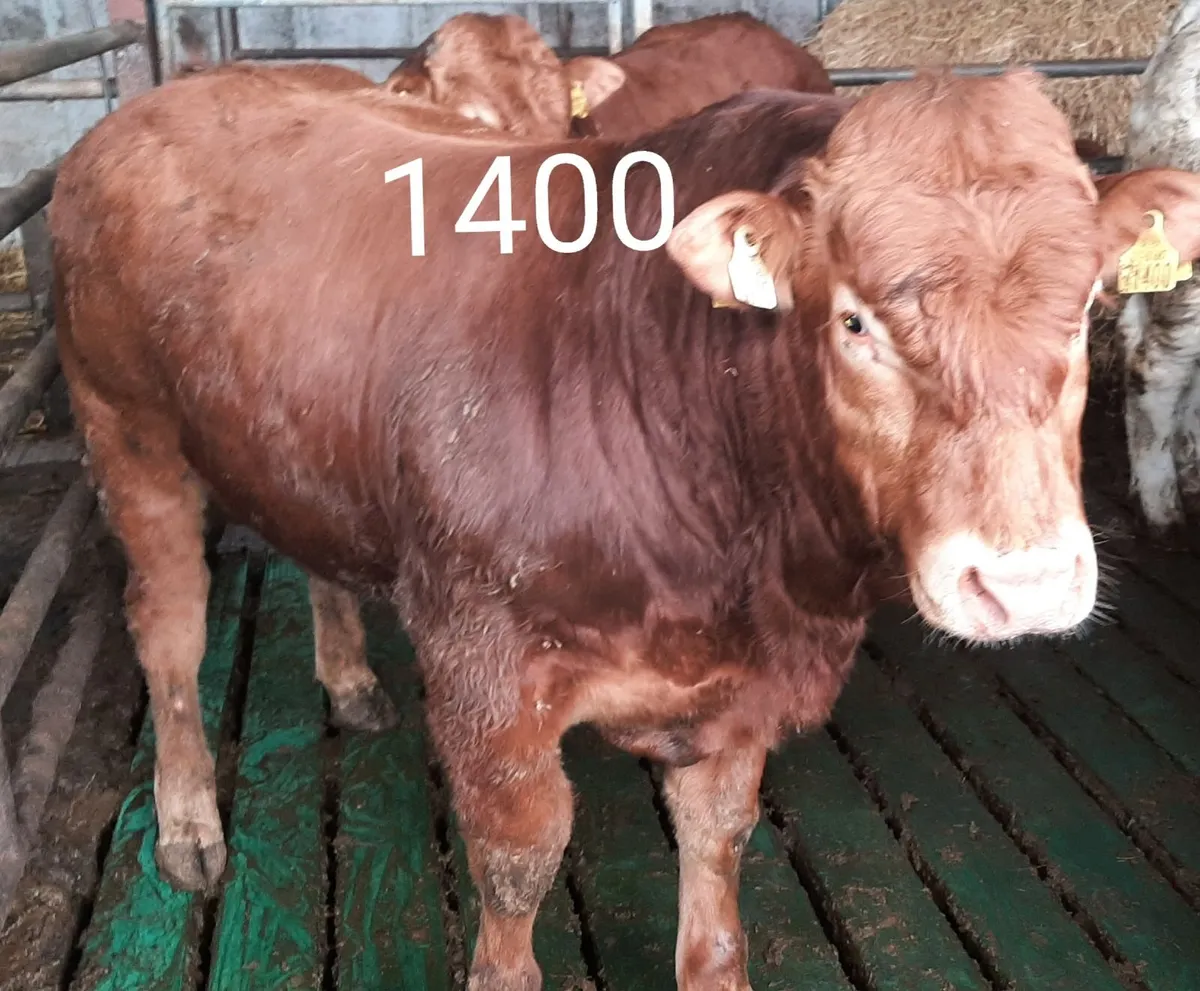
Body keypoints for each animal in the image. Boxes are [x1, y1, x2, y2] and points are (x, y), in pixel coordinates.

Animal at [50, 63, 1200, 991]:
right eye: (854, 319)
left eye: (1088, 304)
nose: (1026, 582)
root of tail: (165, 94)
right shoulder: (483, 664)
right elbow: (520, 857)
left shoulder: (738, 687)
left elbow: (717, 850)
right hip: (126, 430)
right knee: (169, 631)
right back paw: (189, 821)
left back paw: (351, 680)